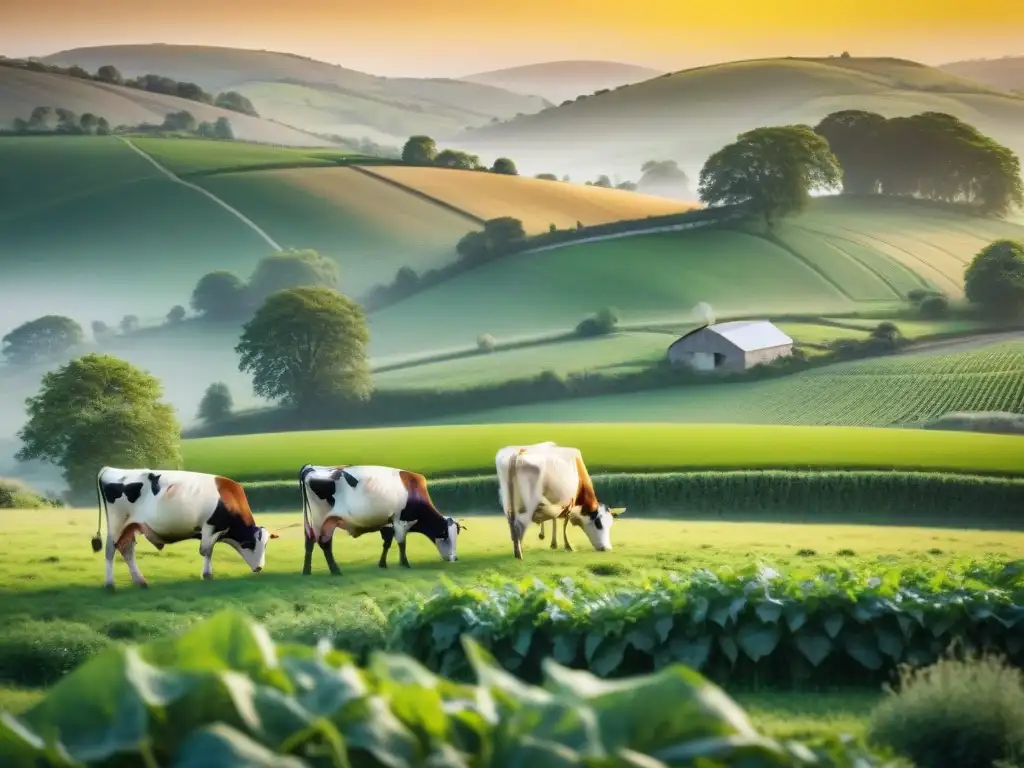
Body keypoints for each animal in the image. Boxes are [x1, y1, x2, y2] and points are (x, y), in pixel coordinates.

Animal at [94, 468, 278, 589]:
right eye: (251, 544)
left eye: (266, 545)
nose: (260, 568)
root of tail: (109, 469)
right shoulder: (209, 526)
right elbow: (206, 551)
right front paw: (207, 575)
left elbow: (209, 550)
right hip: (116, 525)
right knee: (111, 550)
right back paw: (110, 584)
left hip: (130, 527)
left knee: (127, 550)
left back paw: (140, 581)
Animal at [299, 462, 466, 577]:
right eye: (445, 535)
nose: (454, 558)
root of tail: (311, 467)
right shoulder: (399, 521)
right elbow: (401, 543)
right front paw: (405, 564)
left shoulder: (388, 521)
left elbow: (387, 543)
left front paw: (383, 564)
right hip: (319, 520)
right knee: (323, 543)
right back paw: (335, 570)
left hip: (323, 521)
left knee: (311, 542)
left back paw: (308, 570)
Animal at [493, 442, 622, 561]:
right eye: (598, 524)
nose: (607, 548)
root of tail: (518, 452)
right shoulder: (569, 502)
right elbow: (565, 523)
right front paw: (568, 546)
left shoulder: (556, 503)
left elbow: (554, 519)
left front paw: (553, 543)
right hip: (528, 503)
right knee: (519, 524)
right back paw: (519, 554)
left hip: (507, 501)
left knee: (512, 524)